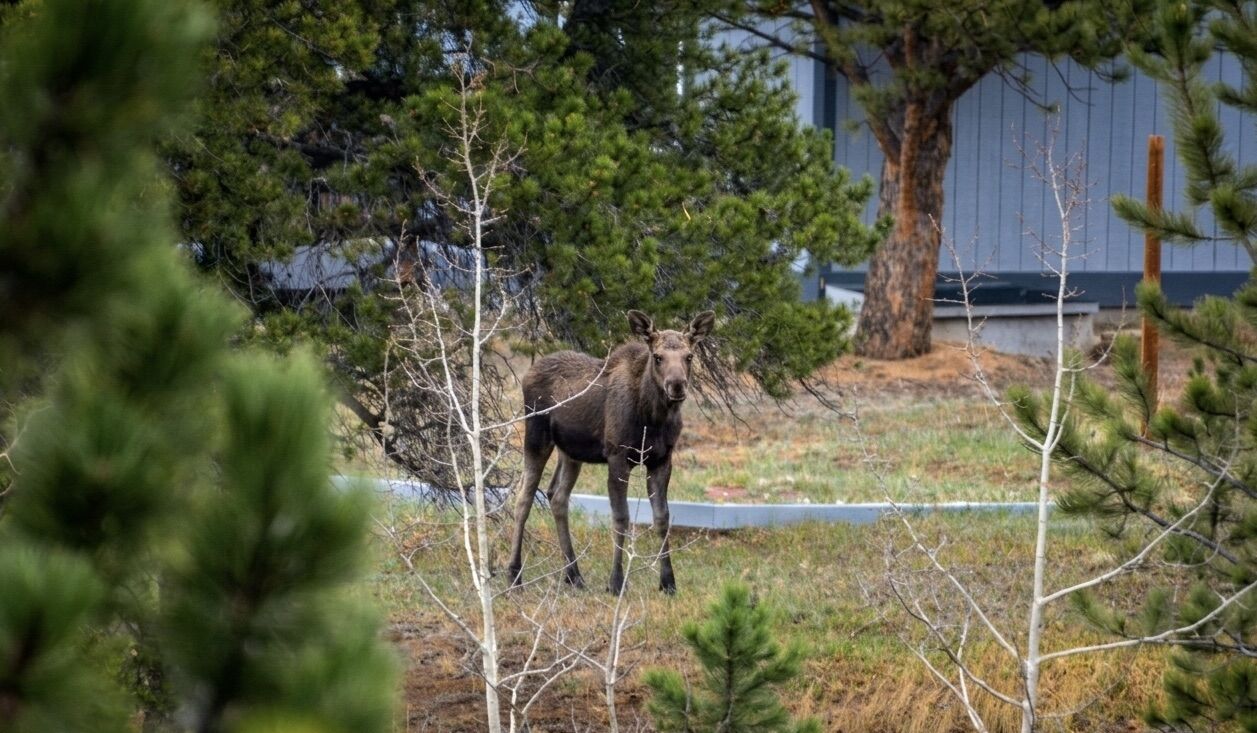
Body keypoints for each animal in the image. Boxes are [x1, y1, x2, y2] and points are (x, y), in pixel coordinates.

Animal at [507, 310, 715, 595]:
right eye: (657, 356)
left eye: (689, 356)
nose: (676, 385)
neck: (653, 418)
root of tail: (528, 373)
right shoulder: (617, 456)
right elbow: (621, 518)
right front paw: (616, 582)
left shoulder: (662, 459)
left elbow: (662, 518)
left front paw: (668, 582)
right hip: (537, 436)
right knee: (523, 498)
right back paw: (514, 575)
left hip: (570, 452)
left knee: (557, 496)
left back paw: (574, 575)